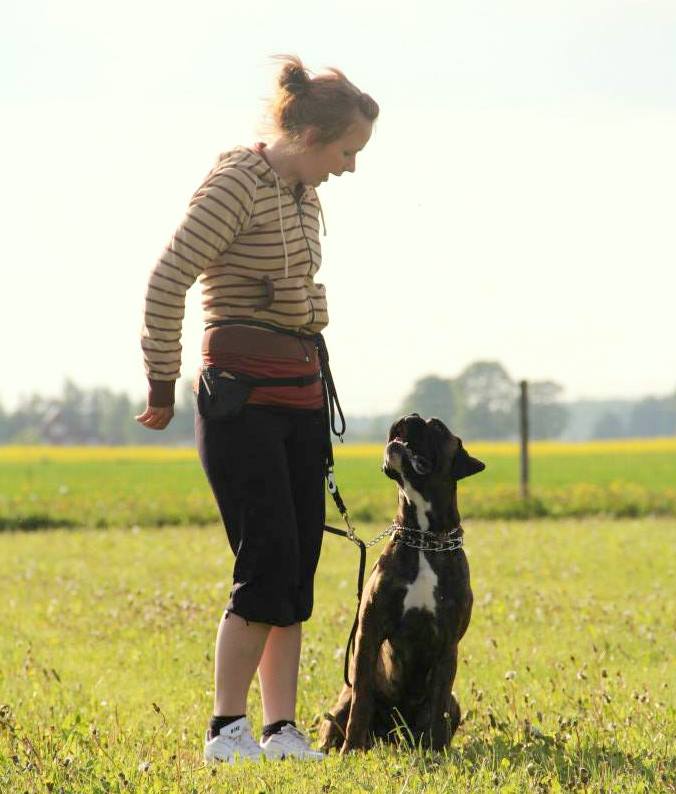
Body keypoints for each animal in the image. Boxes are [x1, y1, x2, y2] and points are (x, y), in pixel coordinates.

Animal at [319, 413, 485, 753]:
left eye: (437, 426)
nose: (410, 416)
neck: (424, 538)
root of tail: (392, 737)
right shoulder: (369, 633)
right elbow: (361, 701)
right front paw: (350, 751)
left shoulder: (447, 643)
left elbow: (438, 705)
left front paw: (437, 752)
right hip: (341, 702)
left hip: (455, 703)